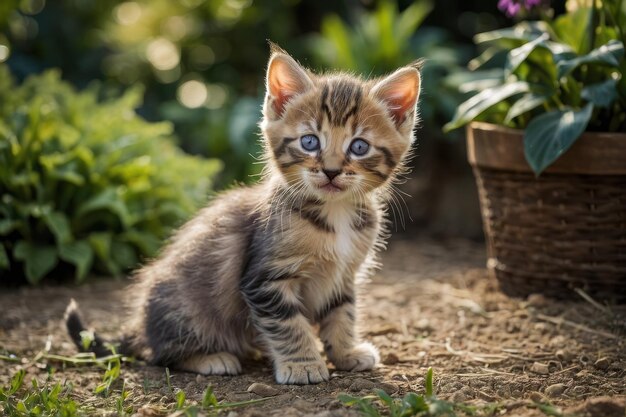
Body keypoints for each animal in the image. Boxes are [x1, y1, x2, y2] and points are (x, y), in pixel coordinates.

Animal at [64, 44, 420, 384]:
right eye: (309, 142)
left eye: (359, 147)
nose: (331, 171)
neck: (336, 213)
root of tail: (140, 326)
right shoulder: (265, 278)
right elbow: (288, 324)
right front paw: (302, 364)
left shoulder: (344, 276)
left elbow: (342, 314)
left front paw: (346, 353)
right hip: (184, 308)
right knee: (160, 355)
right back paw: (211, 358)